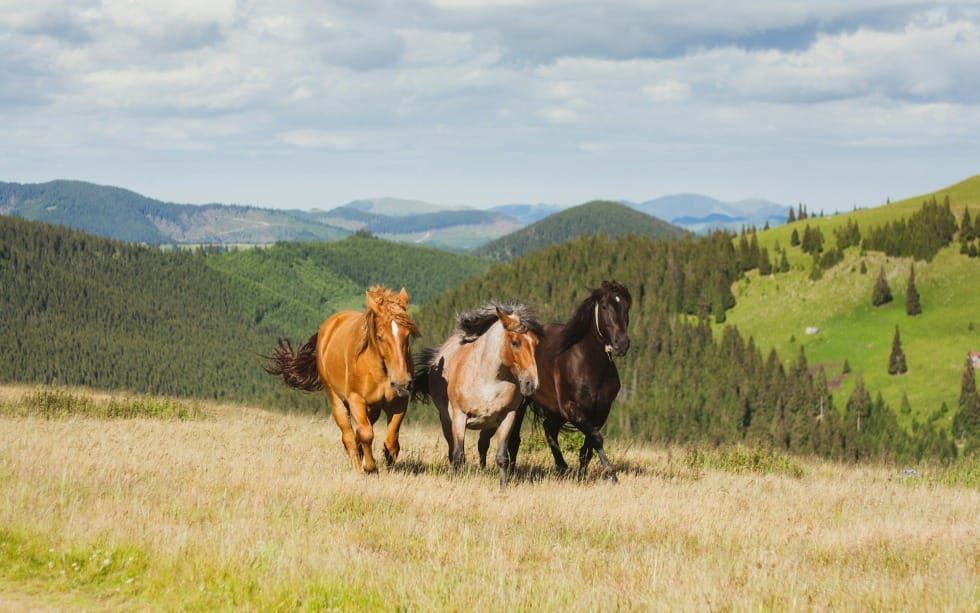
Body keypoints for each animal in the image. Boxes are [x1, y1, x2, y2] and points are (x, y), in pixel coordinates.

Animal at [265, 286, 419, 473]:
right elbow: (365, 434)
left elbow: (391, 442)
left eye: (407, 334)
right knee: (348, 435)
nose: (402, 383)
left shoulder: (399, 402)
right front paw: (369, 467)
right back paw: (357, 464)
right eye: (380, 336)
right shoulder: (356, 399)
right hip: (336, 398)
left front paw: (387, 464)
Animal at [412, 303, 542, 488]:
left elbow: (502, 456)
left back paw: (483, 471)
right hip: (446, 421)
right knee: (453, 450)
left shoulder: (507, 417)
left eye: (536, 343)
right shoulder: (459, 417)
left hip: (489, 425)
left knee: (483, 444)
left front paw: (503, 487)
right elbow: (458, 455)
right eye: (515, 342)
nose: (532, 384)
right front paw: (454, 483)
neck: (487, 380)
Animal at [487, 281, 632, 482]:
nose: (622, 344)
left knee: (549, 428)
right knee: (517, 438)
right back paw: (515, 472)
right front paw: (611, 474)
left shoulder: (600, 412)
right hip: (524, 403)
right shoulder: (571, 409)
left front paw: (582, 476)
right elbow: (596, 438)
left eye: (626, 306)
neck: (589, 364)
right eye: (604, 306)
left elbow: (588, 447)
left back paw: (561, 467)